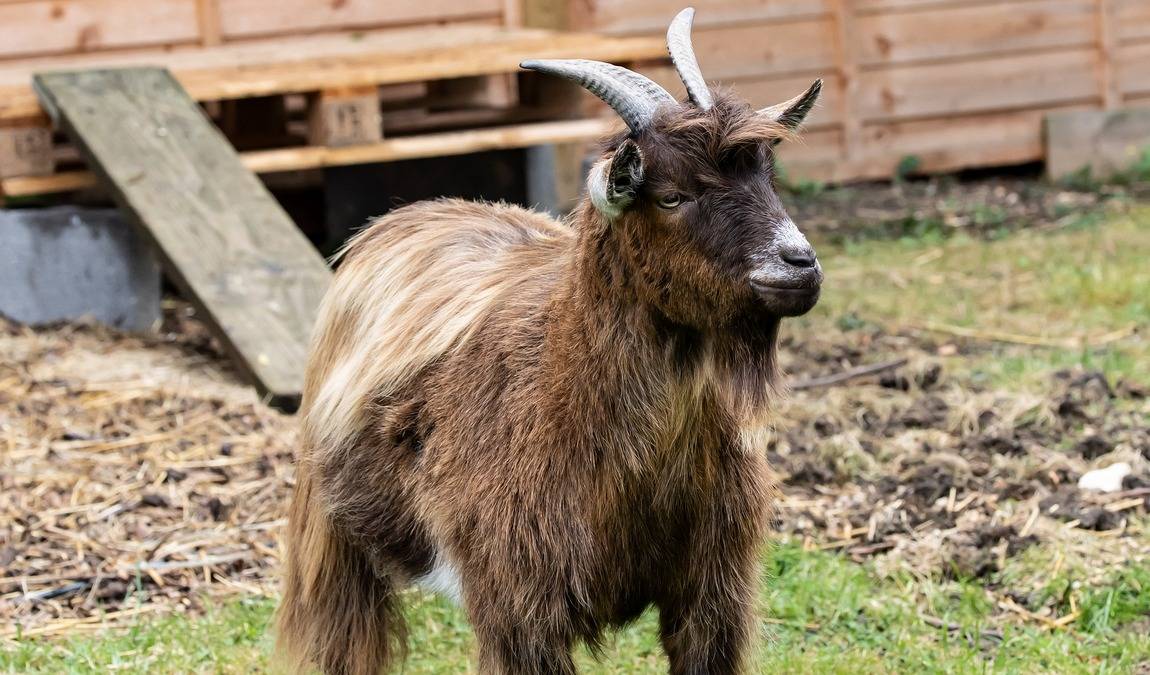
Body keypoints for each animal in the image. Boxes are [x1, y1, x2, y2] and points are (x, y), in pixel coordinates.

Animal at [276, 8, 824, 674]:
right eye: (671, 196)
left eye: (767, 178)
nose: (799, 266)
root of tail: (401, 218)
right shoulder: (519, 609)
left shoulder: (712, 596)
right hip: (333, 537)